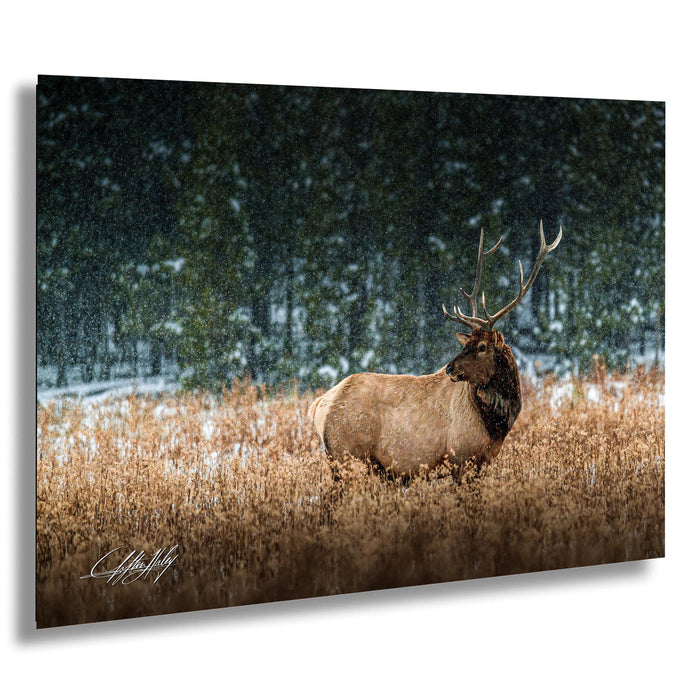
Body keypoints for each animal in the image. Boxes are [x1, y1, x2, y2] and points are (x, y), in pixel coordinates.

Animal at [308, 221, 562, 480]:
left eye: (481, 346)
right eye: (467, 344)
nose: (450, 368)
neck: (495, 425)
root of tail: (319, 405)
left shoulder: (484, 461)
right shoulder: (461, 456)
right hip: (346, 457)